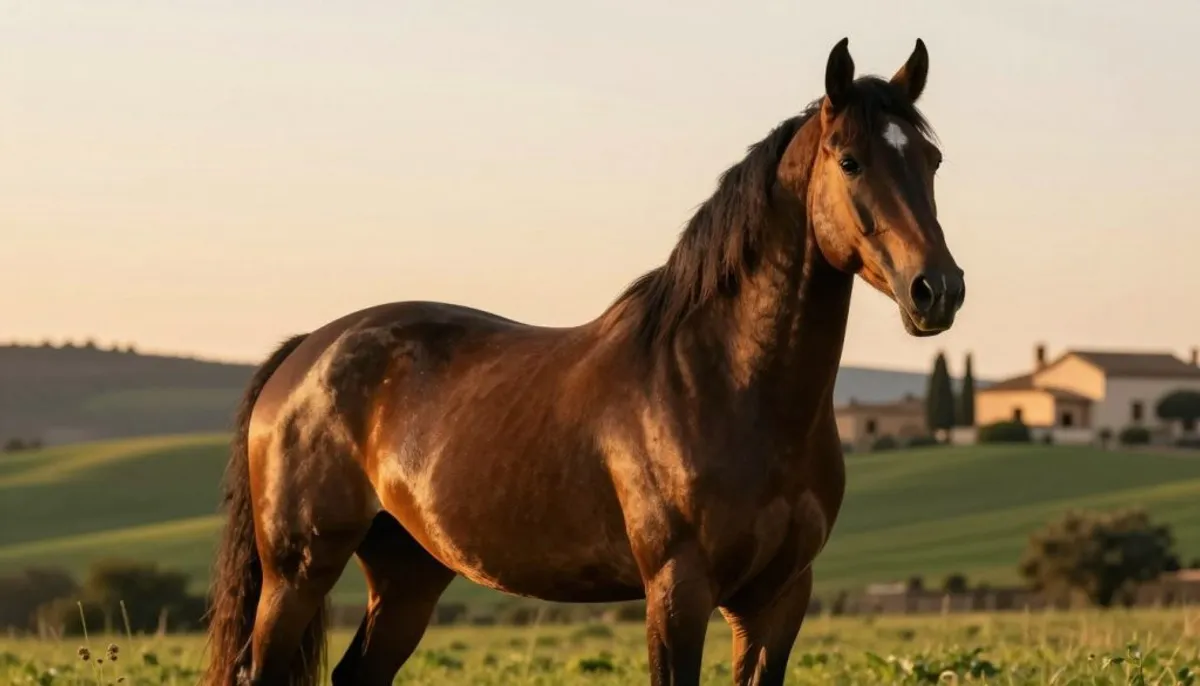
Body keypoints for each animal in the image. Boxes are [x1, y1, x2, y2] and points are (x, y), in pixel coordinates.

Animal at [203, 36, 964, 686]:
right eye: (850, 160)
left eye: (930, 161)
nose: (938, 289)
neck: (727, 385)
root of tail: (306, 352)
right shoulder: (677, 591)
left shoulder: (778, 599)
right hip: (298, 572)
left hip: (407, 574)